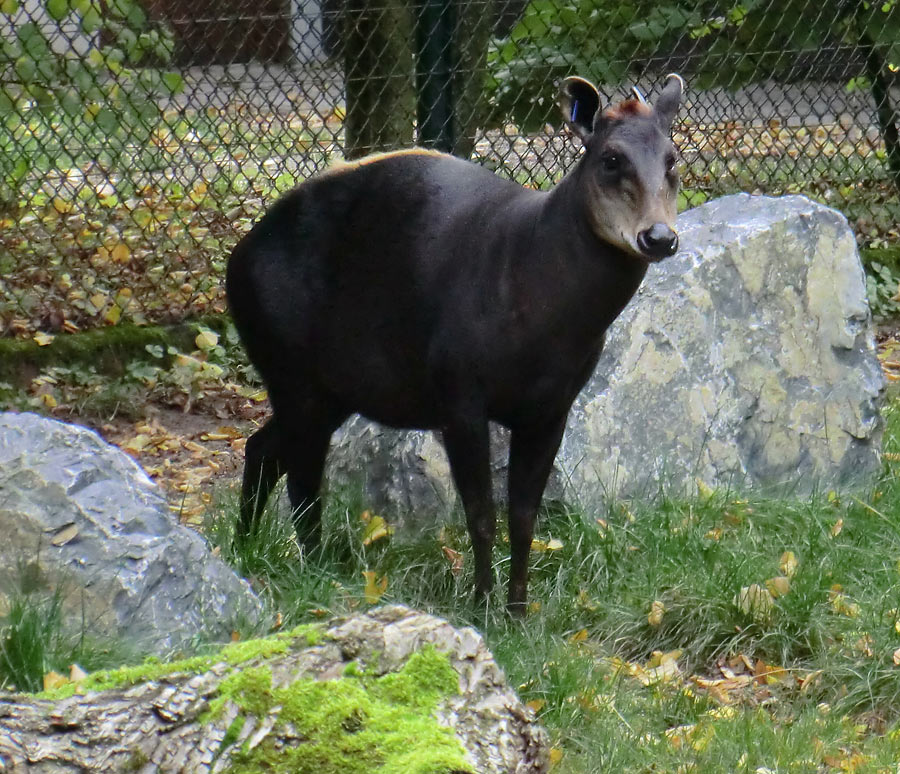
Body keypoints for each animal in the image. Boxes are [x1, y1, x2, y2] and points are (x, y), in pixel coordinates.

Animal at [225, 76, 684, 616]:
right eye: (611, 158)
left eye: (673, 159)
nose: (659, 237)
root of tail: (237, 259)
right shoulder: (459, 397)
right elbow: (481, 513)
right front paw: (483, 607)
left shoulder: (552, 409)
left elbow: (524, 517)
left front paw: (518, 613)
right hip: (293, 377)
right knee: (301, 482)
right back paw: (312, 574)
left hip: (328, 392)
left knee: (262, 449)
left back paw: (246, 550)